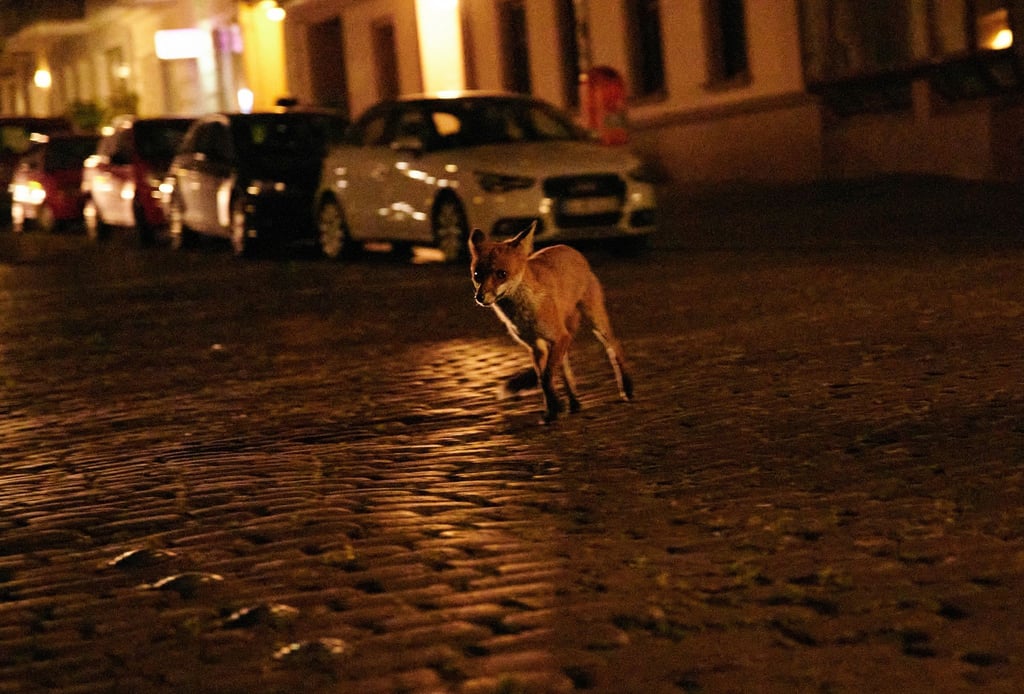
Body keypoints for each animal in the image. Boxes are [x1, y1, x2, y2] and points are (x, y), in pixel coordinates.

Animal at [469, 221, 633, 423]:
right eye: (477, 274)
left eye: (502, 274)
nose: (480, 297)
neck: (524, 313)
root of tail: (570, 249)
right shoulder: (536, 346)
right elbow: (543, 379)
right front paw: (552, 409)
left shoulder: (558, 337)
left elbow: (546, 378)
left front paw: (554, 409)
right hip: (561, 342)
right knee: (565, 370)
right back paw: (574, 403)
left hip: (595, 323)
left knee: (614, 348)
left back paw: (626, 388)